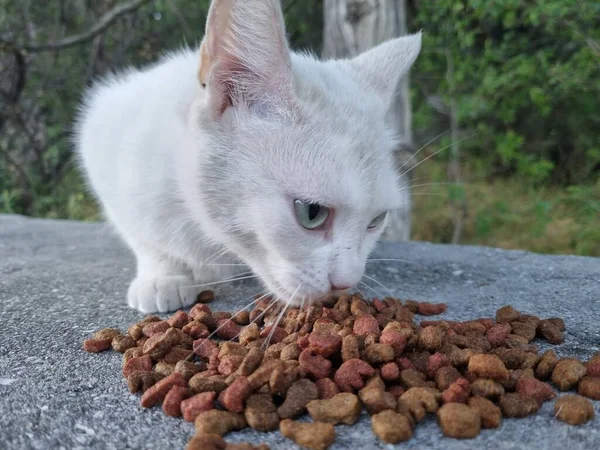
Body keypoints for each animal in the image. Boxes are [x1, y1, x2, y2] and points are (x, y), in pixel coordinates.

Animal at [75, 0, 422, 312]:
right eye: (311, 213)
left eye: (376, 220)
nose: (346, 283)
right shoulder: (103, 137)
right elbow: (144, 235)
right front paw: (164, 275)